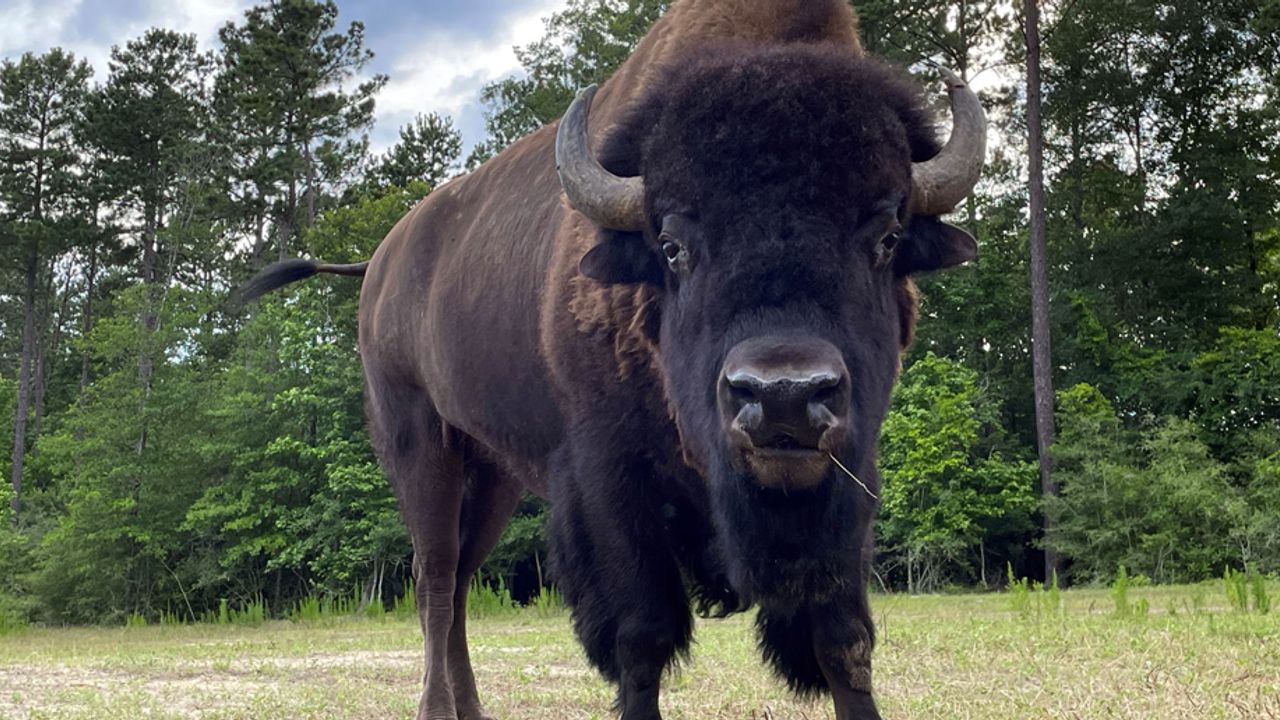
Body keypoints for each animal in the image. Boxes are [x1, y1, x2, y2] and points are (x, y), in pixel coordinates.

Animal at [240, 1, 983, 717]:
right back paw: (436, 709)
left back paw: (474, 709)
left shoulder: (848, 478)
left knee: (460, 580)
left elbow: (842, 638)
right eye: (672, 245)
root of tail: (380, 261)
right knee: (436, 580)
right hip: (420, 443)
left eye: (887, 236)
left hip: (496, 476)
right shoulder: (608, 481)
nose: (783, 396)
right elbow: (641, 637)